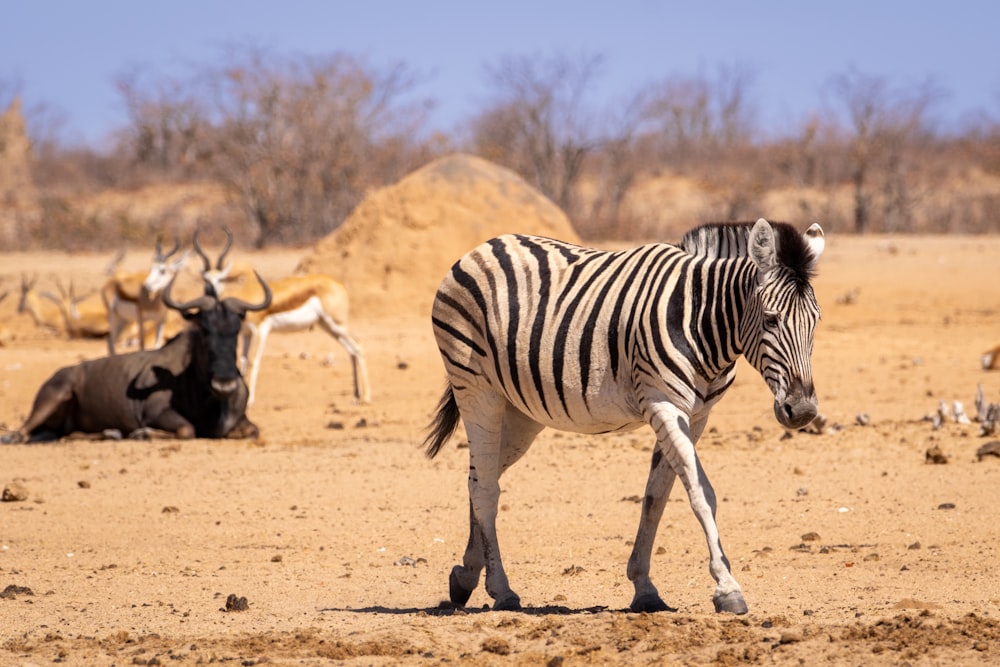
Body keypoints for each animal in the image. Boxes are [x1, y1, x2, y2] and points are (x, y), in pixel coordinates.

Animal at [192, 228, 372, 408]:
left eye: (221, 278)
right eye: (205, 278)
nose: (210, 291)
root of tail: (341, 285)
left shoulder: (261, 330)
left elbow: (254, 361)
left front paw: (249, 400)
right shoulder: (245, 333)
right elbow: (242, 361)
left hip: (336, 324)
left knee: (358, 346)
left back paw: (367, 397)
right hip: (327, 326)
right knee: (351, 350)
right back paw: (356, 396)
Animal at [422, 219, 820, 616]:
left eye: (815, 322)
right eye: (771, 320)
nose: (802, 412)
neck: (701, 321)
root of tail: (485, 246)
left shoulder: (696, 415)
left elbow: (656, 496)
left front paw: (644, 587)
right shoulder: (664, 403)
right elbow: (701, 492)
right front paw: (727, 587)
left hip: (522, 411)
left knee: (480, 475)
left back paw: (466, 576)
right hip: (476, 388)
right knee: (485, 487)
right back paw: (502, 590)